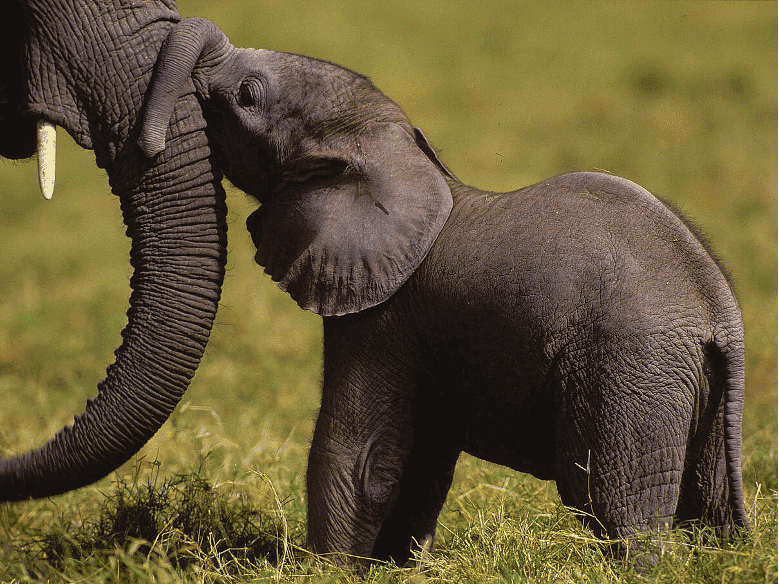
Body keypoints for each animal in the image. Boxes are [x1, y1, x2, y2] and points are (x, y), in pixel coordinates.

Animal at [136, 17, 750, 567]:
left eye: (247, 95)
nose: (151, 140)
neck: (399, 154)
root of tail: (718, 311)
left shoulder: (383, 317)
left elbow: (357, 456)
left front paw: (330, 572)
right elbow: (422, 460)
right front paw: (396, 567)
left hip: (629, 371)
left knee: (615, 504)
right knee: (710, 506)